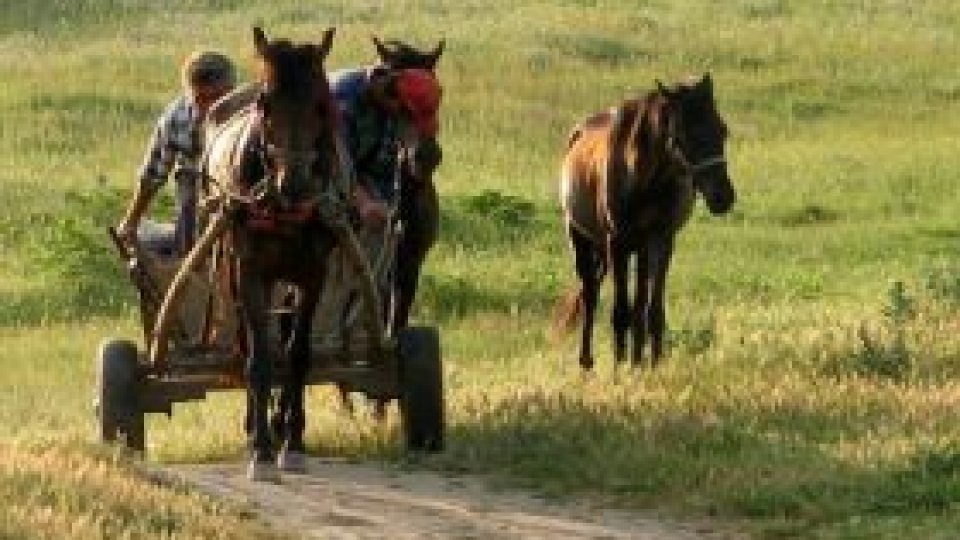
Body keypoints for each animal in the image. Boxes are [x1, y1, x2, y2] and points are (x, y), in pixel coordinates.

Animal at [202, 26, 342, 480]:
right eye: (265, 105)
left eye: (322, 104)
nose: (293, 185)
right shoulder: (251, 270)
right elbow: (261, 357)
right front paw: (262, 450)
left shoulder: (313, 272)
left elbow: (297, 354)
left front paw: (293, 443)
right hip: (232, 268)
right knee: (249, 344)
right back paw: (254, 429)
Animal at [556, 75, 736, 372]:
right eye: (683, 136)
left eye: (722, 130)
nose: (723, 197)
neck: (641, 176)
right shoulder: (617, 243)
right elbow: (620, 311)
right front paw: (619, 368)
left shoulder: (661, 239)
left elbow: (653, 310)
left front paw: (654, 364)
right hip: (582, 239)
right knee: (591, 293)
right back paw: (587, 361)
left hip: (639, 249)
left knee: (637, 303)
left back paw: (637, 358)